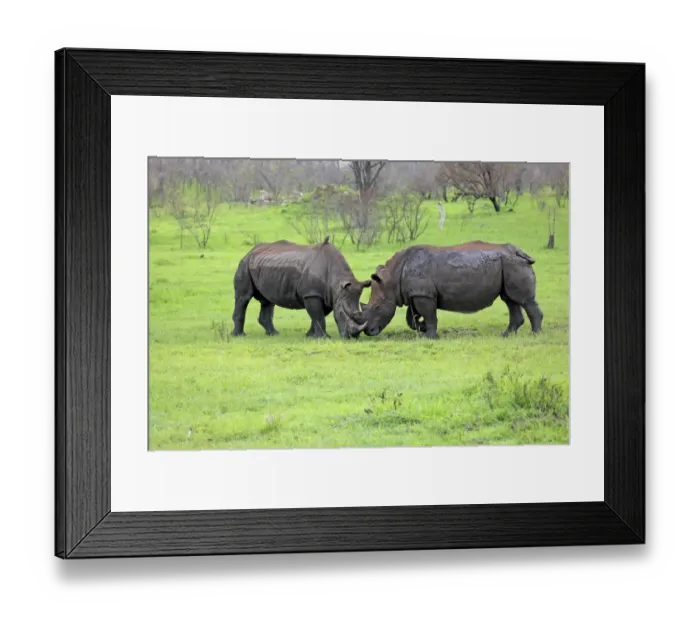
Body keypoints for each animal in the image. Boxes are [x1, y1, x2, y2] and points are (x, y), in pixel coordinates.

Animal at [231, 236, 370, 339]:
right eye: (342, 313)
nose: (353, 337)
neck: (337, 282)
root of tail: (250, 251)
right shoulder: (312, 294)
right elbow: (318, 316)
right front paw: (323, 338)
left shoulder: (328, 295)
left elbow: (318, 316)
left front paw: (310, 335)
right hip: (244, 264)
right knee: (243, 298)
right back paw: (239, 336)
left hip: (263, 265)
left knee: (267, 301)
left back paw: (273, 334)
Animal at [360, 241, 543, 339]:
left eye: (377, 307)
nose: (369, 332)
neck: (391, 278)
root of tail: (518, 251)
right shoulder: (417, 293)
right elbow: (410, 318)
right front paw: (421, 327)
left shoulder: (423, 295)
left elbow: (430, 315)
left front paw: (430, 336)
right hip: (509, 264)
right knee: (510, 300)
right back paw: (506, 335)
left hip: (513, 264)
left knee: (524, 300)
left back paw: (535, 335)